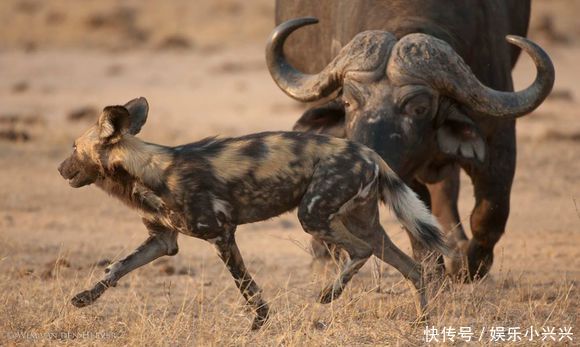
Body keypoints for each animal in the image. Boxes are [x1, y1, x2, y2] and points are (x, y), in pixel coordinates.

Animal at [59, 97, 448, 328]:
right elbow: (117, 269)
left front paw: (259, 322)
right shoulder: (162, 242)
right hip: (363, 223)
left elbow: (245, 284)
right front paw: (84, 298)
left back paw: (329, 294)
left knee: (361, 251)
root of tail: (368, 152)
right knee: (413, 268)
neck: (146, 170)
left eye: (74, 148)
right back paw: (423, 322)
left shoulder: (221, 235)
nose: (60, 168)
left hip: (312, 216)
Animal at [270, 0, 556, 280]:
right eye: (349, 102)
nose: (368, 165)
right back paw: (326, 258)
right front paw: (434, 270)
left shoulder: (499, 134)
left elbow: (491, 212)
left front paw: (470, 266)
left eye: (419, 108)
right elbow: (417, 216)